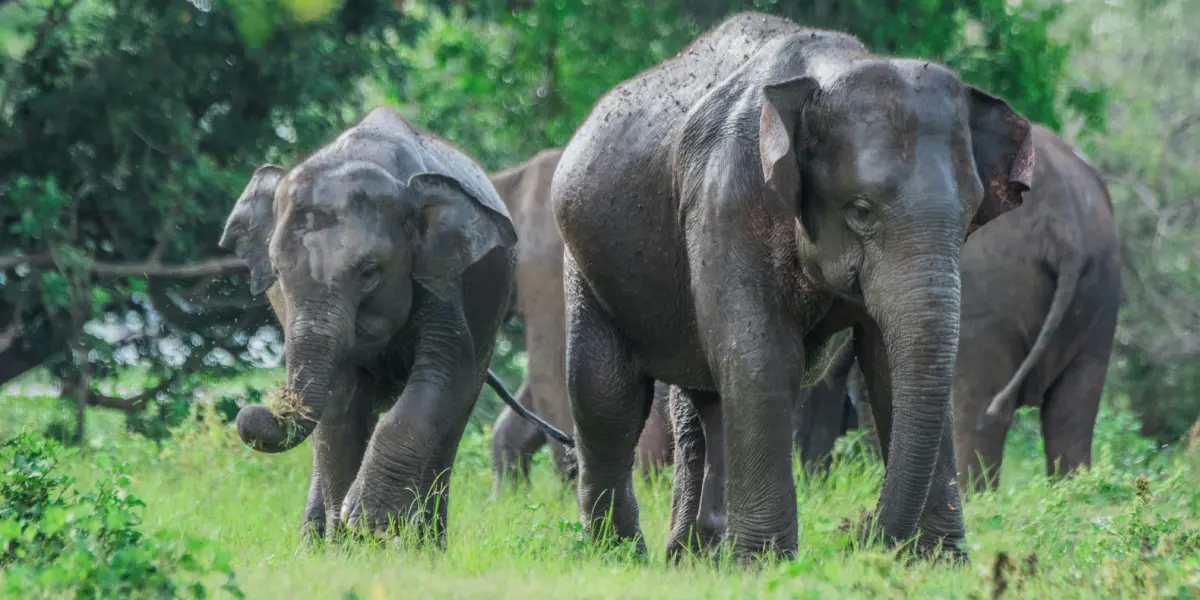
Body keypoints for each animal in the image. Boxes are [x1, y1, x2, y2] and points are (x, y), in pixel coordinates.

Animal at [220, 106, 520, 545]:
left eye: (369, 272)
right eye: (277, 271)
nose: (253, 411)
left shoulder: (442, 279)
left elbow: (444, 373)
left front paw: (370, 522)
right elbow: (341, 403)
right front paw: (350, 541)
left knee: (453, 421)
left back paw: (424, 546)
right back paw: (317, 543)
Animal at [550, 12, 1034, 562]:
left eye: (969, 215)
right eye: (861, 210)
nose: (861, 537)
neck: (829, 70)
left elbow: (886, 364)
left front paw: (940, 562)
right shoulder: (726, 198)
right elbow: (761, 356)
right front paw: (765, 564)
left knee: (700, 398)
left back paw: (694, 556)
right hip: (585, 262)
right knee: (605, 395)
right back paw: (620, 555)